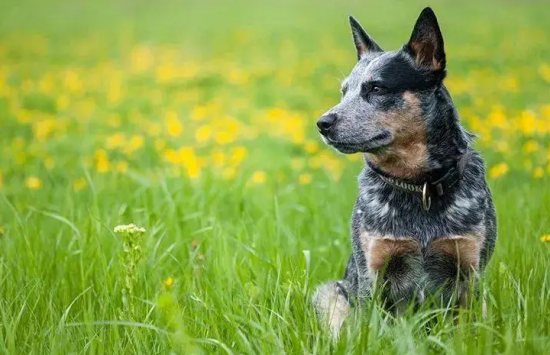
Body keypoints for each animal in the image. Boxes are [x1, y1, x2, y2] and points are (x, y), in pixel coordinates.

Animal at [312, 6, 498, 338]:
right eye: (344, 91)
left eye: (376, 87)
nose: (323, 123)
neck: (418, 185)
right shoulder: (374, 270)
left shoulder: (469, 269)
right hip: (330, 293)